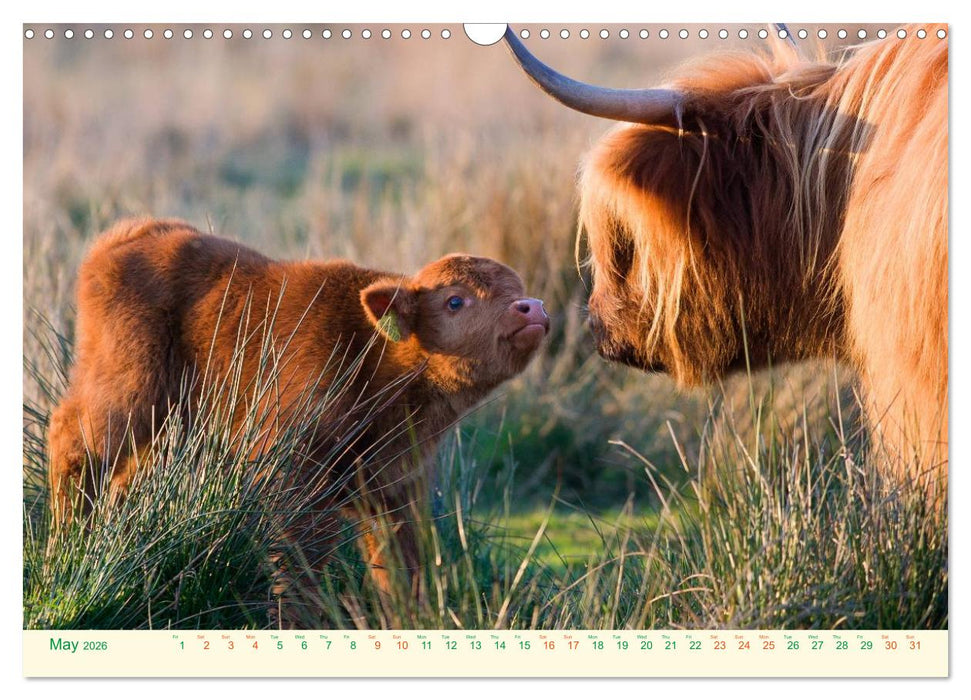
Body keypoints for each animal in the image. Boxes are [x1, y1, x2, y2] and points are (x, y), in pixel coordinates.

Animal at [47, 217, 550, 621]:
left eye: (517, 288)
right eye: (455, 301)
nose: (532, 308)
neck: (375, 359)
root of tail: (128, 235)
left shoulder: (397, 487)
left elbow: (401, 564)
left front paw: (411, 620)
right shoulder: (292, 475)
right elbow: (301, 559)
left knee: (126, 479)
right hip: (127, 392)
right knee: (73, 445)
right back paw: (67, 546)